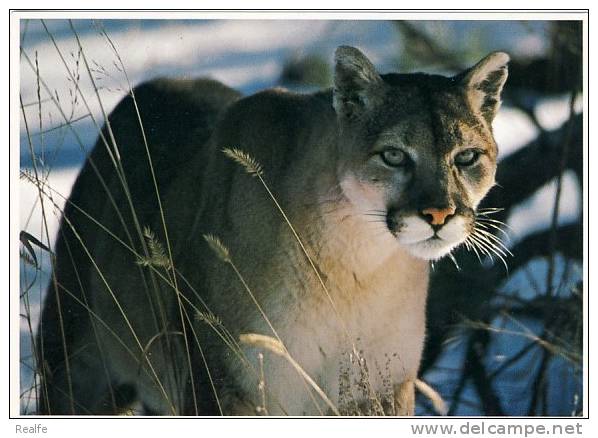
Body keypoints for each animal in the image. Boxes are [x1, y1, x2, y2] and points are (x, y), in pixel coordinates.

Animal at [35, 46, 508, 416]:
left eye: (466, 156)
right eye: (393, 155)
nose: (440, 214)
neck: (355, 267)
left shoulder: (381, 386)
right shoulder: (229, 383)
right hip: (76, 367)